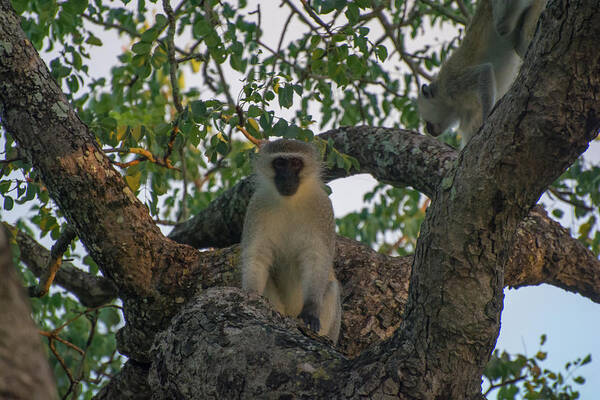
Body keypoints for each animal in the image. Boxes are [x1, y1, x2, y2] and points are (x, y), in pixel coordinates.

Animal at [240, 139, 342, 342]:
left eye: (295, 163)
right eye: (279, 163)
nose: (287, 177)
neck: (290, 202)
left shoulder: (322, 207)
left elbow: (316, 257)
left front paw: (310, 310)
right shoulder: (257, 206)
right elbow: (258, 254)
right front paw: (252, 296)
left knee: (332, 287)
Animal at [420, 0, 548, 146]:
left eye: (426, 120)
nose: (427, 128)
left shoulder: (452, 85)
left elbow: (483, 72)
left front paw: (487, 117)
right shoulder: (468, 116)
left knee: (503, 25)